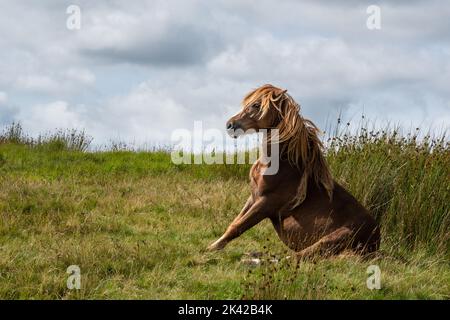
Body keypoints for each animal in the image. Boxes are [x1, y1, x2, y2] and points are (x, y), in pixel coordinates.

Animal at [207, 84, 380, 258]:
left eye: (256, 105)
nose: (230, 125)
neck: (277, 164)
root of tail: (376, 241)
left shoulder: (266, 202)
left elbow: (238, 227)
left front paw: (209, 249)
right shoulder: (254, 197)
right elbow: (234, 223)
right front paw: (215, 245)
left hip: (333, 239)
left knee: (298, 257)